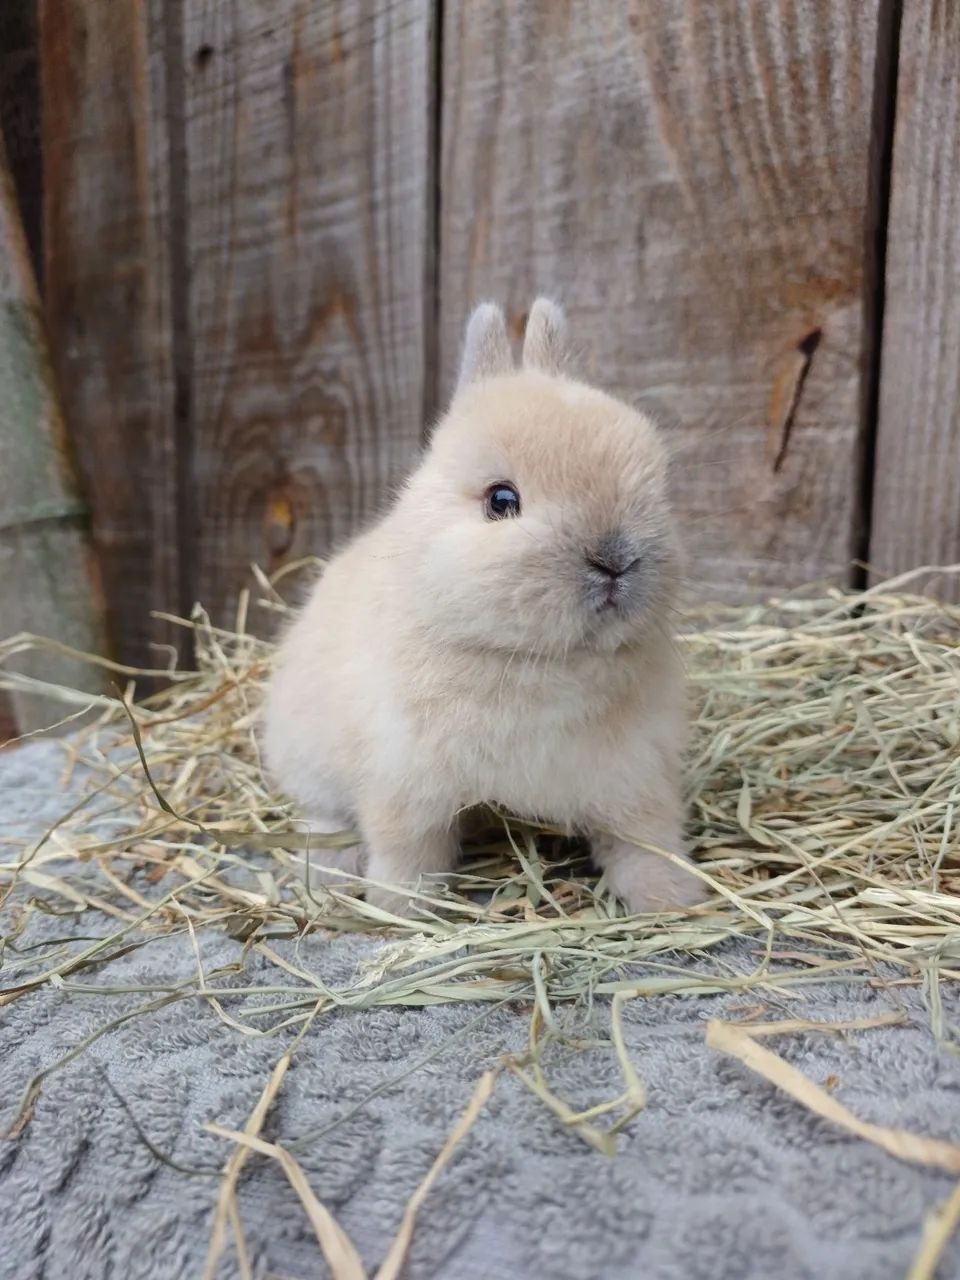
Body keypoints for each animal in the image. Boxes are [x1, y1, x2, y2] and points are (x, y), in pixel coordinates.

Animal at [262, 298, 707, 917]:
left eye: (657, 486)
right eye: (501, 500)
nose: (615, 558)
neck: (537, 661)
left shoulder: (634, 777)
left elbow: (647, 839)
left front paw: (671, 900)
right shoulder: (405, 787)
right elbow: (407, 852)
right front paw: (399, 907)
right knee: (324, 815)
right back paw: (332, 869)